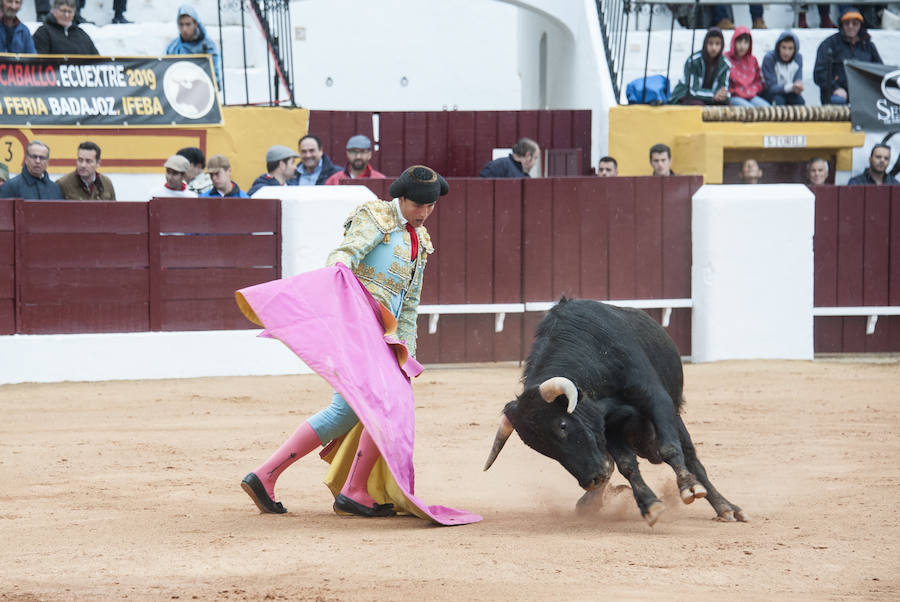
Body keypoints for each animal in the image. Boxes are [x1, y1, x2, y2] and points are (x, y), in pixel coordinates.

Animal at [486, 298, 744, 524]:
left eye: (562, 425)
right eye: (542, 448)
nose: (592, 479)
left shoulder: (655, 398)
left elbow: (670, 448)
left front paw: (689, 487)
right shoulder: (607, 428)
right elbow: (625, 464)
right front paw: (649, 505)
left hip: (675, 417)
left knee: (690, 456)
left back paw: (726, 508)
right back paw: (592, 500)